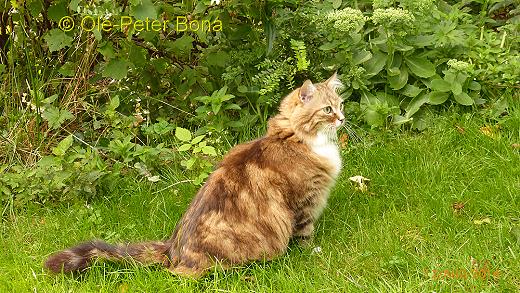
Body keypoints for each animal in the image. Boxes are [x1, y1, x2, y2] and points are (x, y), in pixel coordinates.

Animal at [44, 72, 346, 276]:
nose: (343, 119)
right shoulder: (305, 200)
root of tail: (173, 249)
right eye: (327, 110)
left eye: (341, 105)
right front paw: (311, 252)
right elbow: (305, 232)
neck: (295, 137)